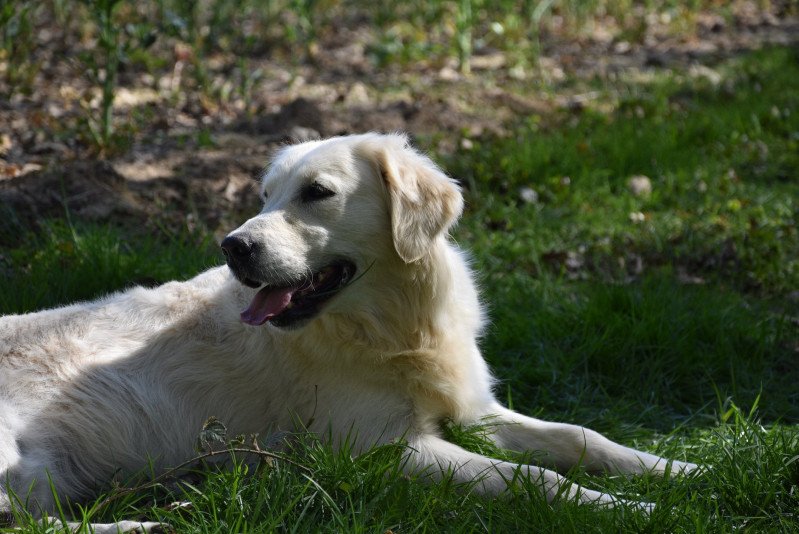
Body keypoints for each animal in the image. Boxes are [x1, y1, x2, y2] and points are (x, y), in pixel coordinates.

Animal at [0, 134, 692, 532]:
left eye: (316, 193)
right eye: (266, 194)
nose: (233, 246)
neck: (393, 328)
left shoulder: (472, 410)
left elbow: (582, 436)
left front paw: (675, 470)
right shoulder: (380, 450)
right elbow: (540, 479)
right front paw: (631, 510)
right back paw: (146, 525)